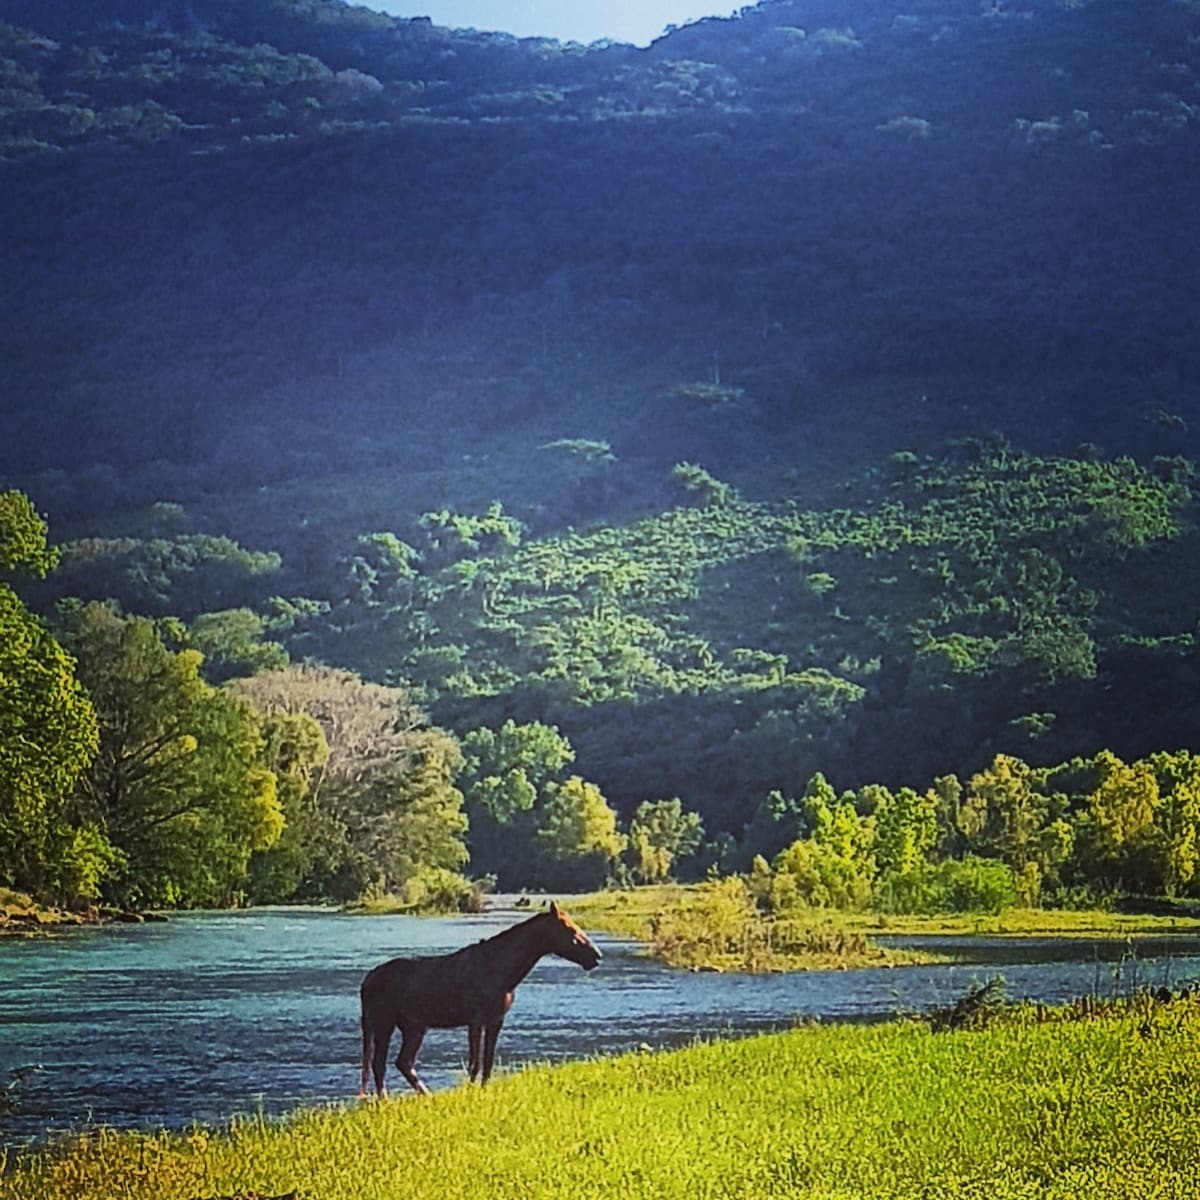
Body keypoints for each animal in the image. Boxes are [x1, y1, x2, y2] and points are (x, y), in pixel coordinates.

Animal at [355, 902, 600, 1099]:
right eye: (569, 928)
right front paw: (471, 1091)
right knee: (379, 1064)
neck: (507, 973)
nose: (597, 956)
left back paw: (426, 1095)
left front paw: (484, 1090)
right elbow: (475, 1062)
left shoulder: (496, 1020)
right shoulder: (476, 1020)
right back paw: (384, 1100)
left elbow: (488, 1061)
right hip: (384, 1024)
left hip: (414, 1027)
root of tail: (366, 981)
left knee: (403, 1062)